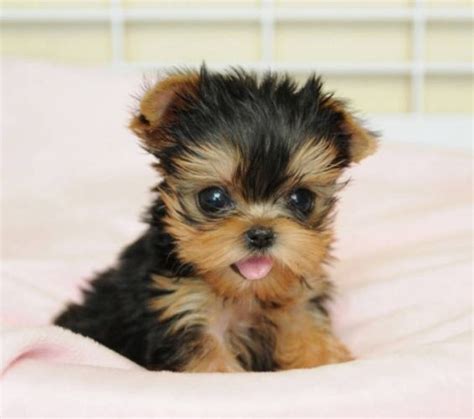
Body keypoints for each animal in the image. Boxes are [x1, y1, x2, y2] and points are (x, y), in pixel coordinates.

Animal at [52, 68, 378, 374]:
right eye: (213, 198)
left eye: (301, 199)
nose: (261, 234)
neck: (244, 294)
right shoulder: (183, 310)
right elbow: (213, 365)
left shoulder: (299, 304)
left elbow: (311, 337)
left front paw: (328, 361)